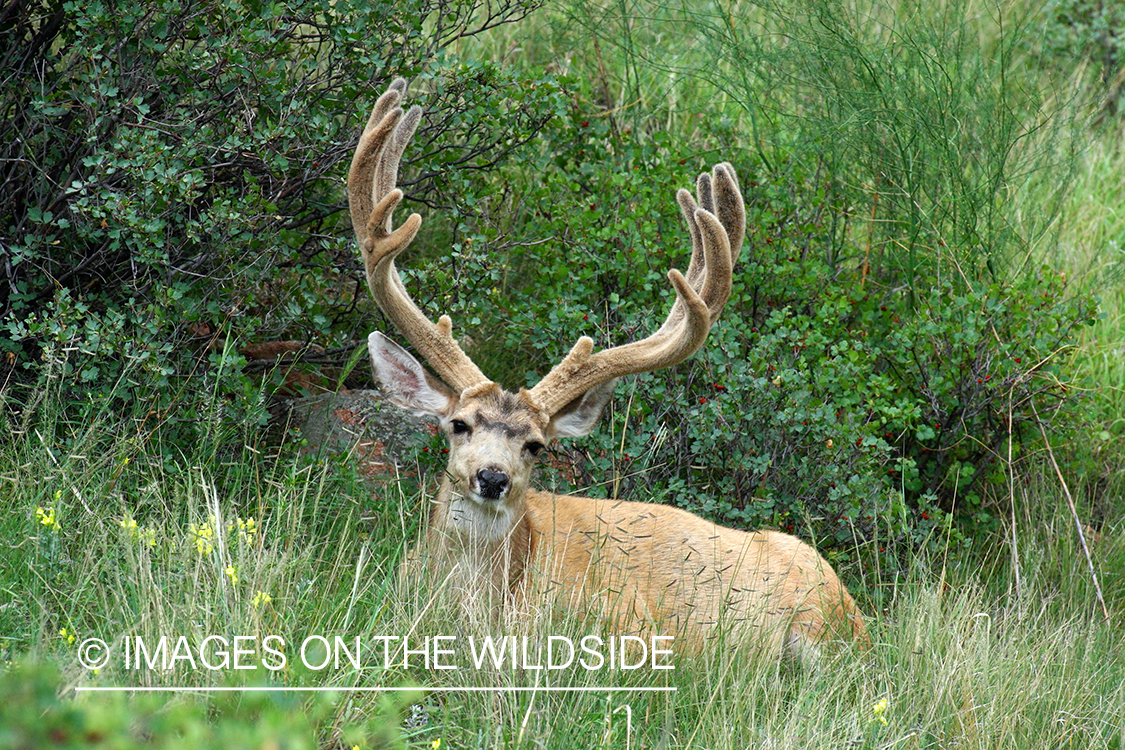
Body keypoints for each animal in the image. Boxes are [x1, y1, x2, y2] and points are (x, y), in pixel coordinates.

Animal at [348, 78, 869, 664]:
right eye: (458, 424)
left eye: (537, 446)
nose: (493, 477)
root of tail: (857, 610)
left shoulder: (631, 627)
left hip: (822, 632)